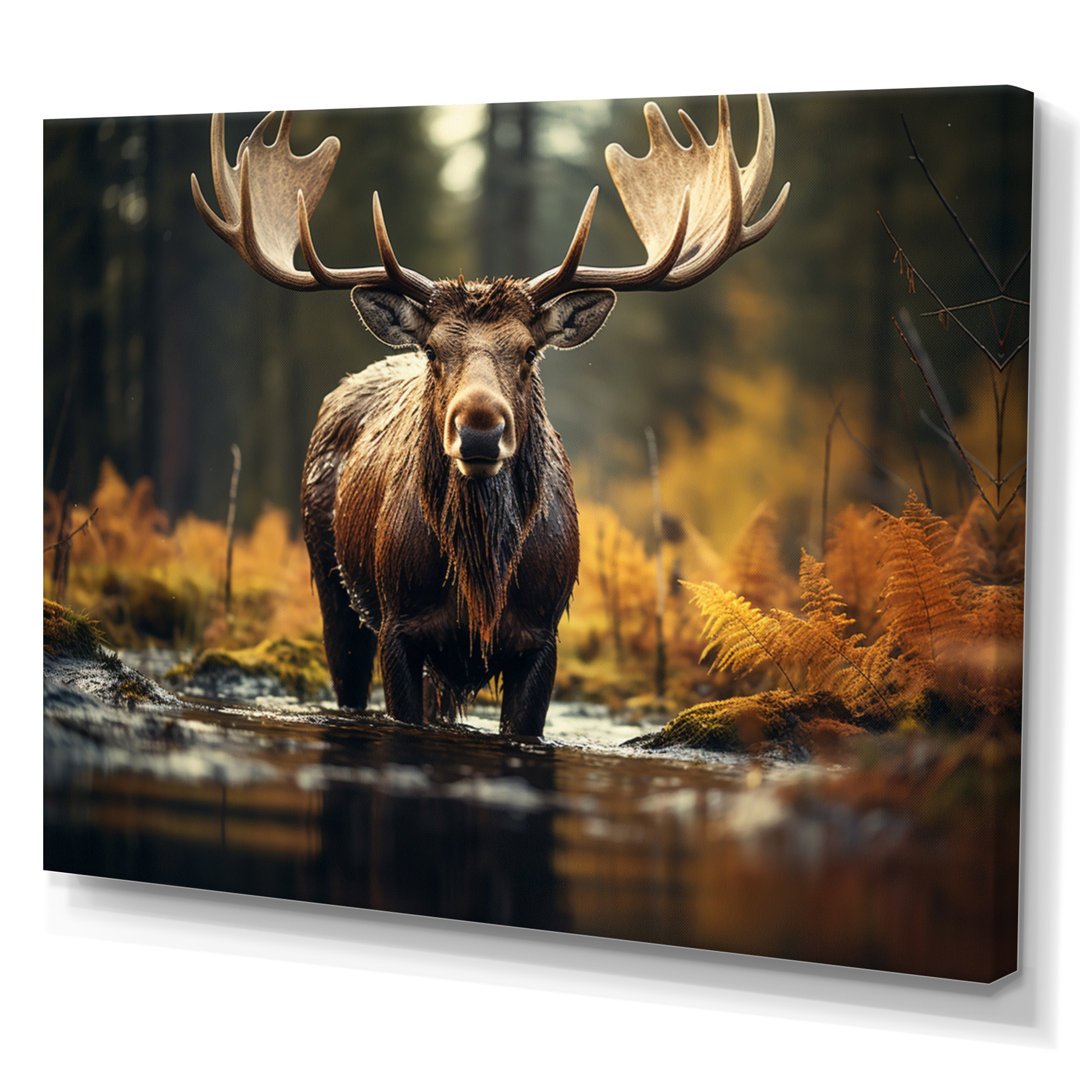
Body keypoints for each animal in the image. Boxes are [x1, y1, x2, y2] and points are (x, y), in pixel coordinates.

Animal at [191, 96, 789, 737]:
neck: (481, 584)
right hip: (331, 585)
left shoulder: (543, 637)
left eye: (528, 351)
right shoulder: (400, 626)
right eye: (433, 351)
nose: (479, 430)